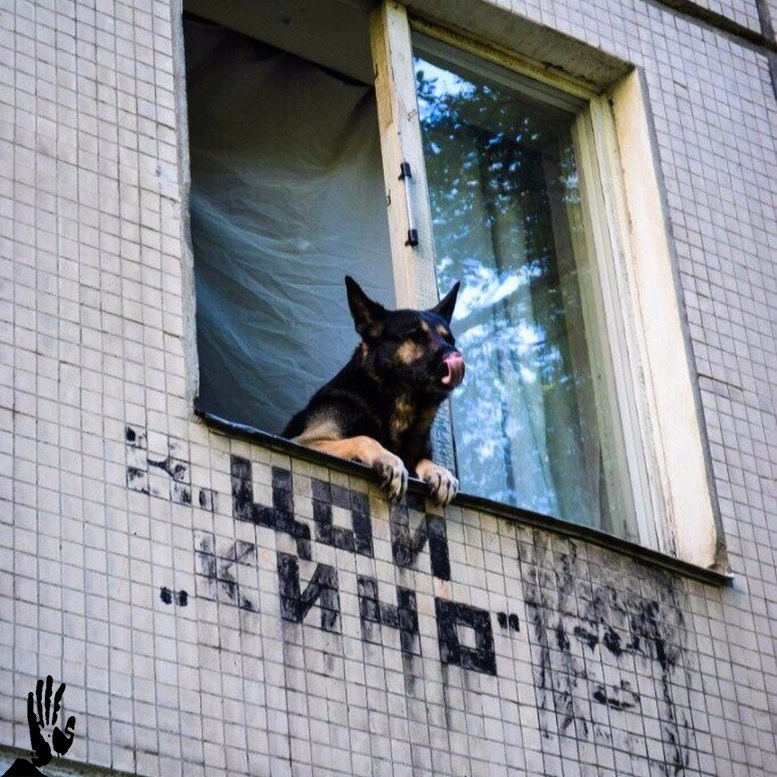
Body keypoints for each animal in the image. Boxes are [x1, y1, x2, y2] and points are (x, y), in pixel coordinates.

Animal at [283, 276, 465, 506]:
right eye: (416, 337)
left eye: (449, 340)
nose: (457, 356)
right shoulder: (306, 442)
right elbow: (365, 438)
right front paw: (389, 459)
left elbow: (421, 459)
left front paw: (440, 471)